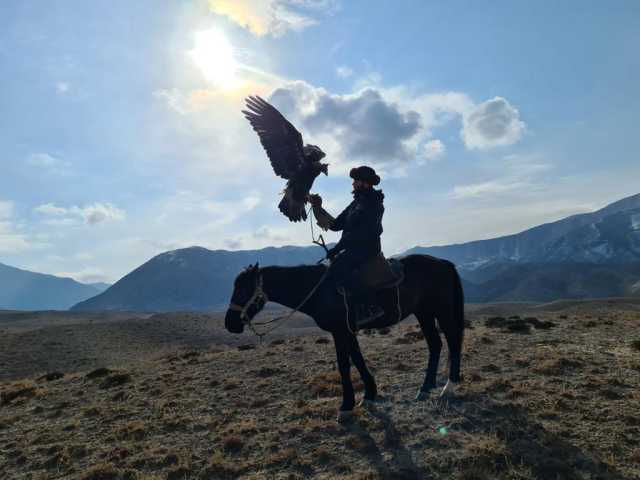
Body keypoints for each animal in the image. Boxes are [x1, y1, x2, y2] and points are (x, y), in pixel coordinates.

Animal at [224, 254, 465, 420]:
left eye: (242, 290)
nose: (230, 324)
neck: (319, 290)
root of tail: (443, 263)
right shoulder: (348, 331)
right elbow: (357, 359)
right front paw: (368, 395)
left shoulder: (340, 331)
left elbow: (344, 365)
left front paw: (346, 407)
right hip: (423, 312)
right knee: (435, 344)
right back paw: (425, 388)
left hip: (441, 309)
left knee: (453, 342)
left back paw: (448, 388)